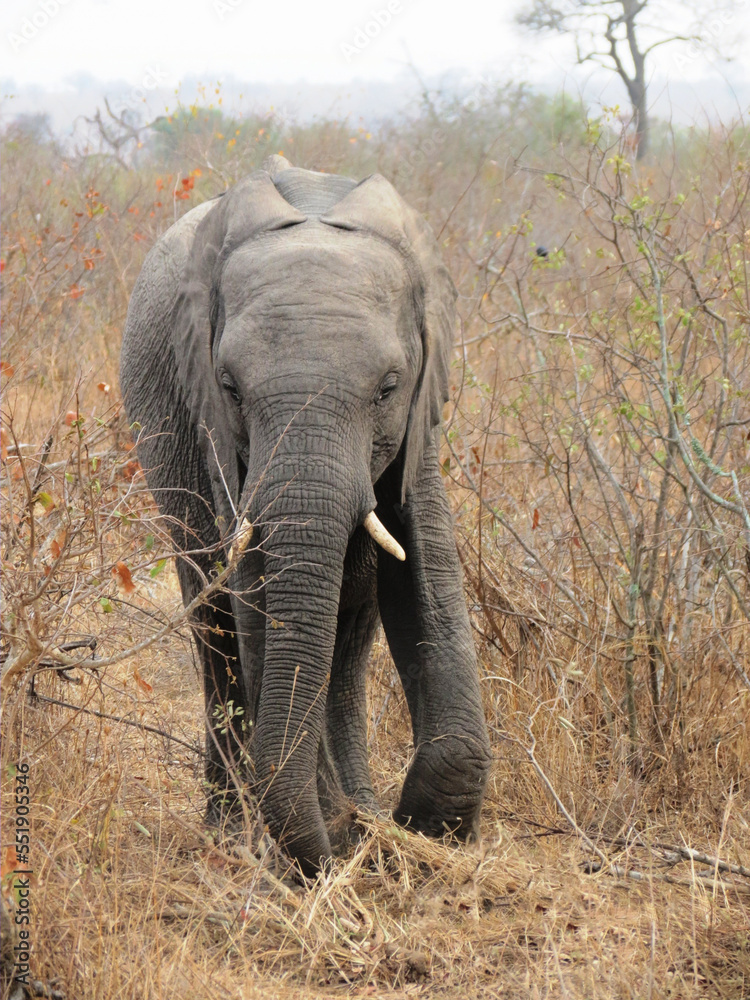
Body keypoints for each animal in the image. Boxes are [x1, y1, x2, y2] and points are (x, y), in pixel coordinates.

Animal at [120, 154, 492, 876]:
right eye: (230, 387)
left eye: (388, 387)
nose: (395, 827)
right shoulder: (215, 436)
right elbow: (257, 604)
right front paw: (341, 844)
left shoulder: (420, 429)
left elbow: (425, 574)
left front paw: (409, 831)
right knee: (216, 628)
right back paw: (233, 833)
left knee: (351, 635)